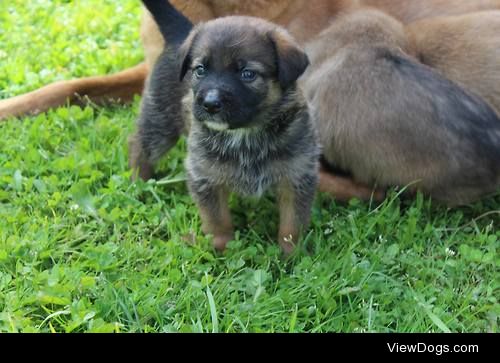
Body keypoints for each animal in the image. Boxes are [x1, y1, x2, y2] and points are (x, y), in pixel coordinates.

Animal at [131, 0, 318, 253]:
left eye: (247, 74)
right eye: (200, 70)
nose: (210, 104)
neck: (245, 134)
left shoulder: (297, 176)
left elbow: (292, 225)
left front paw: (291, 253)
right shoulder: (205, 176)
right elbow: (217, 219)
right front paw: (222, 247)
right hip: (160, 119)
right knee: (140, 145)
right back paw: (137, 181)